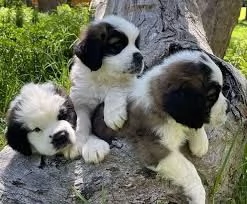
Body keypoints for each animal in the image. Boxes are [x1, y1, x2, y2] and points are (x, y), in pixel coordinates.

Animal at [69, 15, 144, 163]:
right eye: (118, 45)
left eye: (136, 46)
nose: (140, 56)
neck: (102, 77)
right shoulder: (80, 101)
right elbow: (82, 123)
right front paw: (85, 144)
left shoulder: (135, 83)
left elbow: (117, 88)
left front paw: (113, 115)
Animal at [92, 49, 230, 204]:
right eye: (212, 97)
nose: (229, 108)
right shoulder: (156, 148)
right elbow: (189, 168)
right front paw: (199, 194)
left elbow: (193, 122)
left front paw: (200, 143)